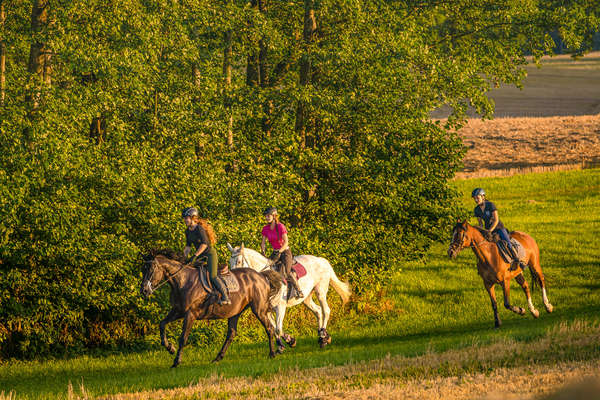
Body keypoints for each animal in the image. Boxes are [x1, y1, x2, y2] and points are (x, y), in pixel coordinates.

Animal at [141, 250, 284, 368]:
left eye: (152, 269)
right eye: (144, 269)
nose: (144, 290)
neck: (183, 281)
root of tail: (261, 275)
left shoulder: (190, 314)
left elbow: (183, 338)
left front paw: (176, 361)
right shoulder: (177, 311)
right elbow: (162, 324)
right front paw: (170, 347)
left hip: (258, 309)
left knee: (269, 328)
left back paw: (272, 353)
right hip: (236, 311)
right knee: (231, 333)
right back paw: (218, 358)